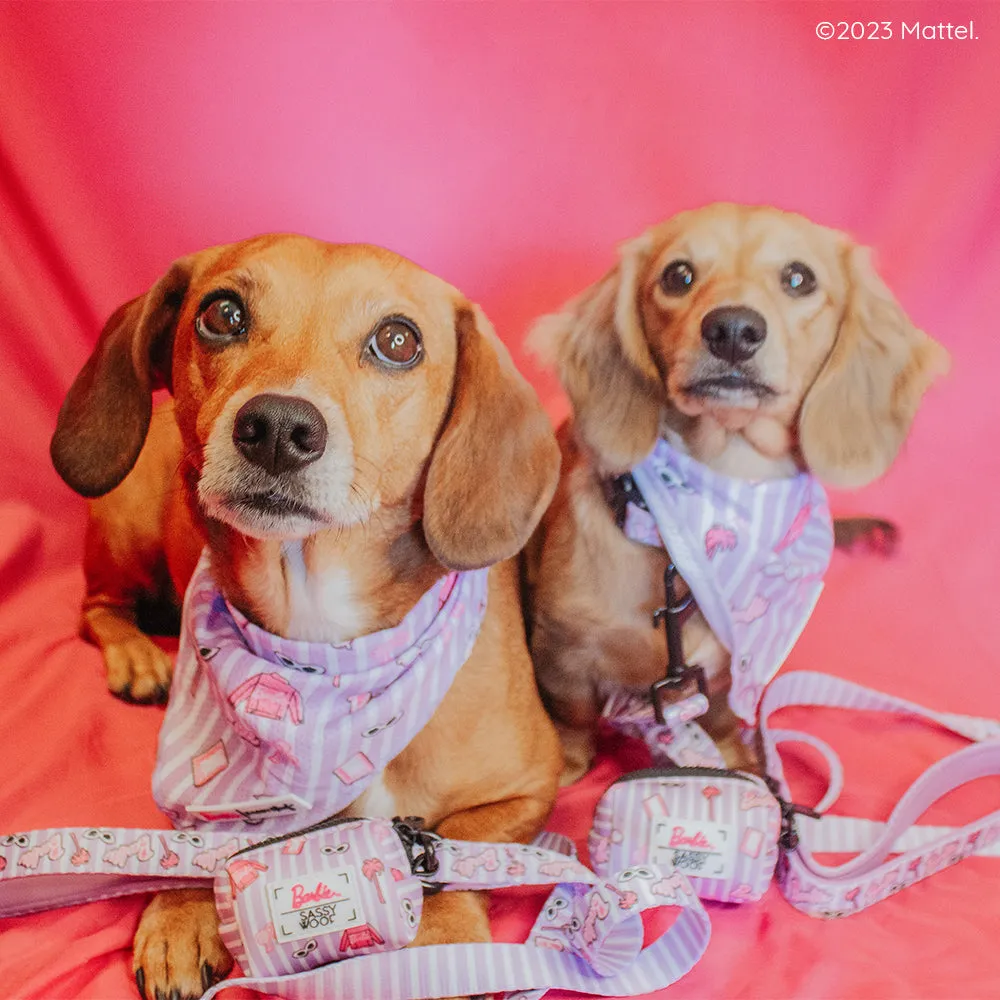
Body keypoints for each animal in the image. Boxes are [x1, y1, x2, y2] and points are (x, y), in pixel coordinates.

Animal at [50, 236, 564, 1000]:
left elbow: (458, 856)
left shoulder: (529, 789)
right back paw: (138, 655)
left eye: (398, 340)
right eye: (223, 314)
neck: (328, 652)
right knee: (98, 608)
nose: (277, 429)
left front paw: (445, 940)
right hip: (126, 520)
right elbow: (189, 835)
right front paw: (180, 909)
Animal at [528, 201, 948, 780]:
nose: (731, 328)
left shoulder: (731, 670)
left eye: (799, 278)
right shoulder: (561, 650)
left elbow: (724, 715)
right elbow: (571, 720)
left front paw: (735, 759)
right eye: (678, 276)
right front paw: (565, 768)